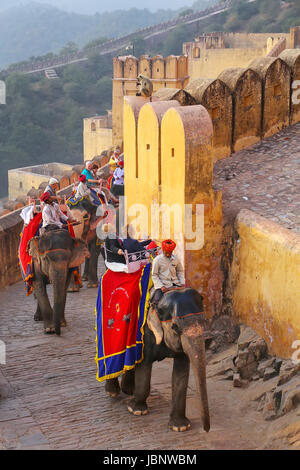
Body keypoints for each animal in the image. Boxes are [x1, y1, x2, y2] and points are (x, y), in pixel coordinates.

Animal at [104, 288, 210, 436]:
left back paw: (128, 390)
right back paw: (112, 392)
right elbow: (144, 366)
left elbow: (181, 374)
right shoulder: (145, 333)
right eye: (175, 326)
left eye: (204, 321)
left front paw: (180, 427)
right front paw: (136, 410)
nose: (206, 430)